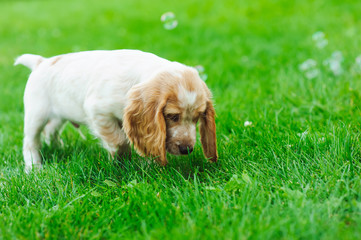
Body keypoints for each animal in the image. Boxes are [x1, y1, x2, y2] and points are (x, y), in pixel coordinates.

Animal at [14, 49, 217, 172]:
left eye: (197, 118)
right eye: (172, 116)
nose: (186, 149)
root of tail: (40, 62)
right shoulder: (98, 111)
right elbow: (119, 141)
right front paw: (122, 162)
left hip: (59, 115)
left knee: (51, 131)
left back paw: (59, 147)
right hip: (36, 114)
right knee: (30, 142)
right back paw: (34, 169)